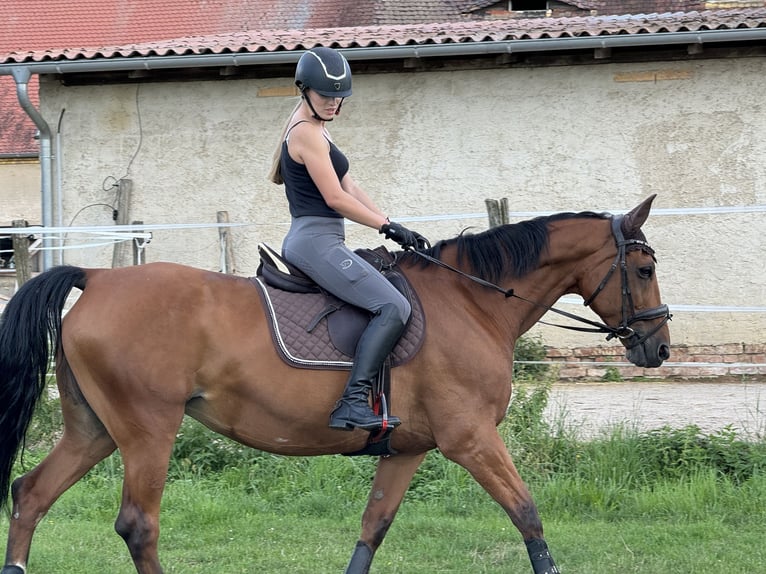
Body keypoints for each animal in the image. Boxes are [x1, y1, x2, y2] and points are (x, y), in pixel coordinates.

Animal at [0, 196, 672, 572]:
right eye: (643, 269)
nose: (659, 347)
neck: (472, 302)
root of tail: (95, 276)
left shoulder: (407, 449)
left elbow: (373, 528)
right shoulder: (471, 438)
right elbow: (529, 515)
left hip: (94, 430)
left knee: (30, 493)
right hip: (148, 431)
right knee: (138, 525)